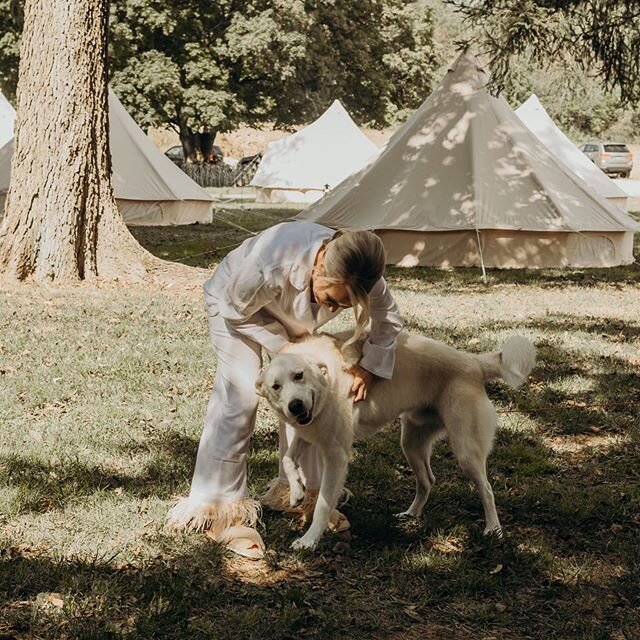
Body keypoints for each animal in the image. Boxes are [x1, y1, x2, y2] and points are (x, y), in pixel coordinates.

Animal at [255, 330, 536, 552]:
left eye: (299, 375)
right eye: (276, 386)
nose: (295, 406)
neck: (328, 379)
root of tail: (474, 362)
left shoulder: (335, 454)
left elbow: (323, 505)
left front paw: (309, 541)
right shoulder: (309, 433)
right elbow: (288, 459)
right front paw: (296, 493)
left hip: (465, 451)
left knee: (487, 489)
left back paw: (493, 529)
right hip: (411, 444)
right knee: (427, 480)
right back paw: (411, 514)